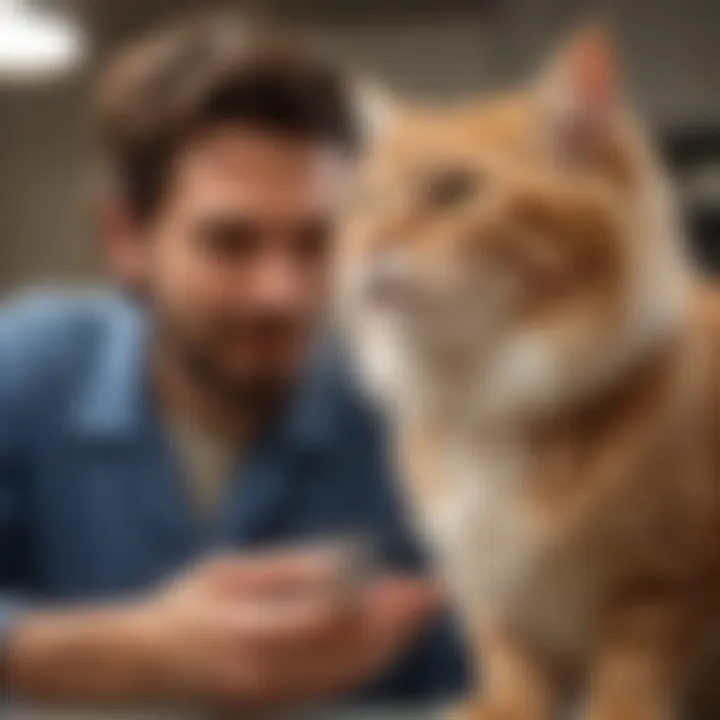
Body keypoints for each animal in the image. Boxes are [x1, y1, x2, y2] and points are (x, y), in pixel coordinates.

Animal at [338, 28, 720, 720]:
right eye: (363, 204)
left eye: (454, 190)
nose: (367, 247)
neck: (487, 400)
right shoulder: (490, 581)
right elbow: (510, 658)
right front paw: (501, 707)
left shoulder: (664, 575)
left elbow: (633, 666)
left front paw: (618, 709)